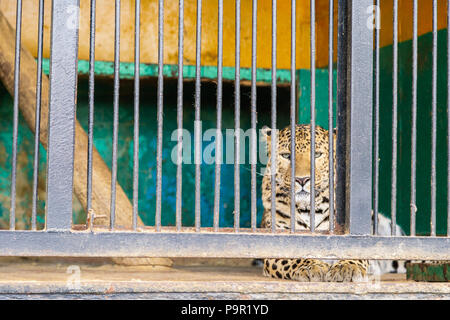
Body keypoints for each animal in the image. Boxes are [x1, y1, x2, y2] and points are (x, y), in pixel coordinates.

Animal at [260, 124, 404, 282]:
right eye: (286, 156)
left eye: (317, 154)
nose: (302, 180)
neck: (308, 210)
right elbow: (294, 257)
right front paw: (312, 266)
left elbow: (356, 249)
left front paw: (347, 266)